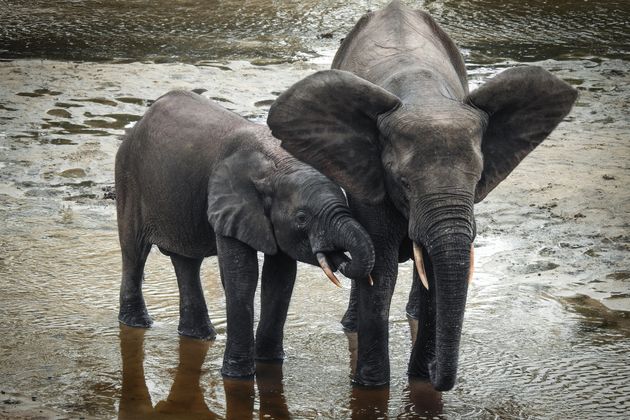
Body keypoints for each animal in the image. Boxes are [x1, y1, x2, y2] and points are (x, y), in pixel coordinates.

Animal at [115, 89, 376, 378]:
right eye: (302, 218)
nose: (337, 255)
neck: (278, 165)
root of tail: (141, 120)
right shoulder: (229, 203)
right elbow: (243, 274)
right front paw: (238, 375)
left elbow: (280, 277)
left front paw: (270, 362)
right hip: (128, 175)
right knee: (134, 251)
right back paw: (138, 323)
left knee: (186, 262)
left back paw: (199, 335)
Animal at [266, 0, 576, 390]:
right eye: (404, 182)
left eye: (478, 181)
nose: (441, 377)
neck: (424, 97)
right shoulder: (375, 181)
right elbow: (381, 273)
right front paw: (372, 386)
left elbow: (432, 274)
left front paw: (421, 382)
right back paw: (351, 325)